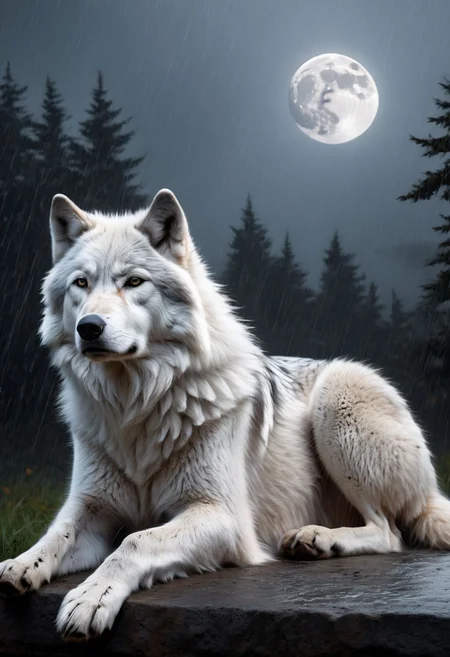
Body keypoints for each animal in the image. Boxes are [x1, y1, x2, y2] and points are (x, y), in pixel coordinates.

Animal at [1, 189, 450, 640]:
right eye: (81, 283)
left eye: (134, 282)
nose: (89, 327)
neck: (135, 406)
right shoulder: (91, 508)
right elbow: (56, 534)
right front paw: (20, 565)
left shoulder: (223, 517)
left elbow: (137, 541)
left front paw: (92, 598)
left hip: (336, 398)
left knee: (389, 533)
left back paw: (317, 538)